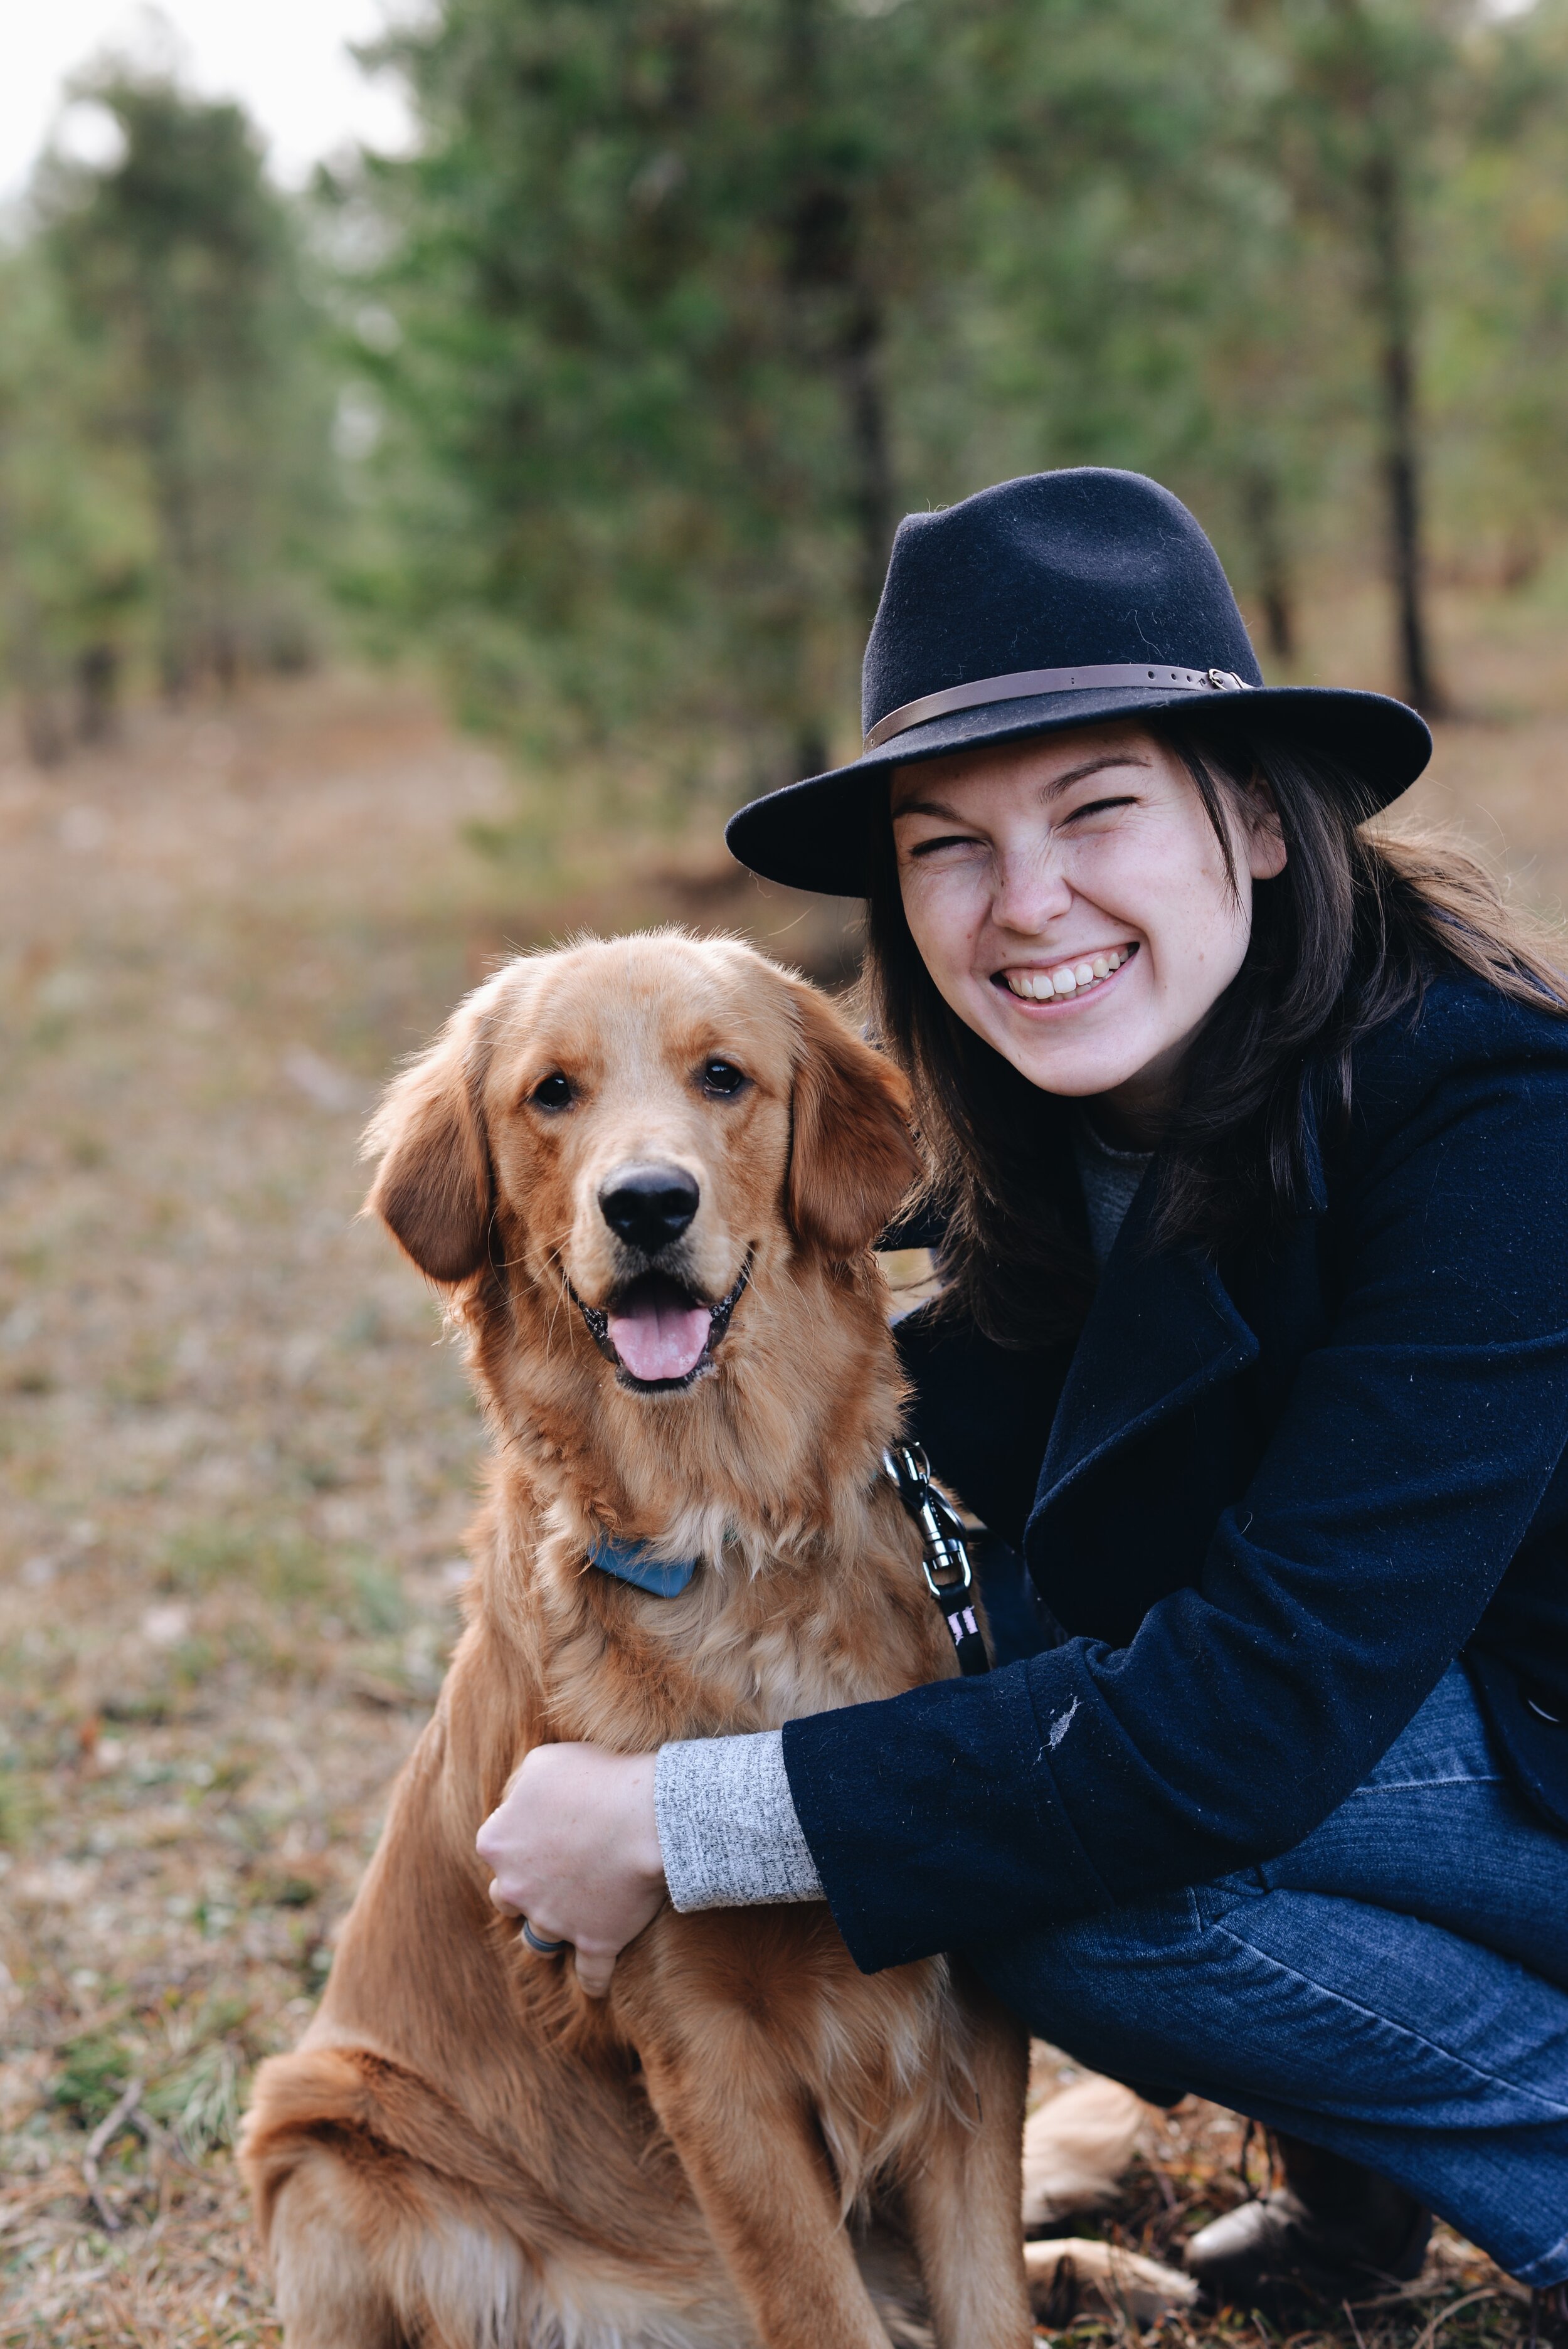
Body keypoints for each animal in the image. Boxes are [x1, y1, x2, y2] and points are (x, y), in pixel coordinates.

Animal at [239, 935, 1032, 2349]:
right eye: (552, 1093)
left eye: (723, 1076)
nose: (648, 1204)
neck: (731, 1541)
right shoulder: (700, 2044)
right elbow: (819, 2310)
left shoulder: (964, 2012)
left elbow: (994, 2307)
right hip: (329, 2147)